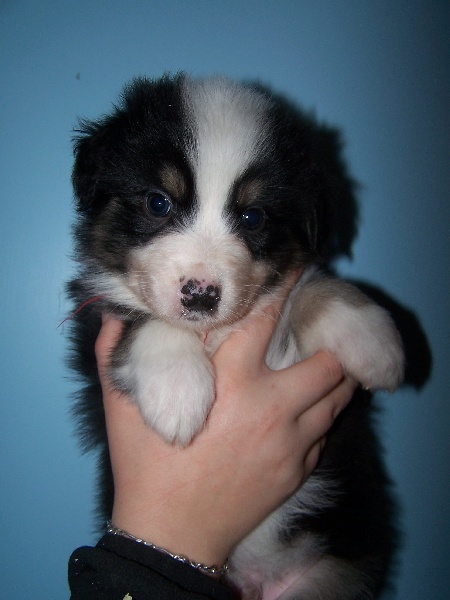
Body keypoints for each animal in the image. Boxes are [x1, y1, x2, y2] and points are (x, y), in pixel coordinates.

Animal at [68, 74, 404, 599]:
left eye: (253, 217)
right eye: (158, 202)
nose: (201, 295)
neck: (214, 332)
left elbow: (311, 287)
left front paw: (372, 338)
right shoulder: (95, 323)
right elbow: (146, 320)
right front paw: (179, 393)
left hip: (330, 577)